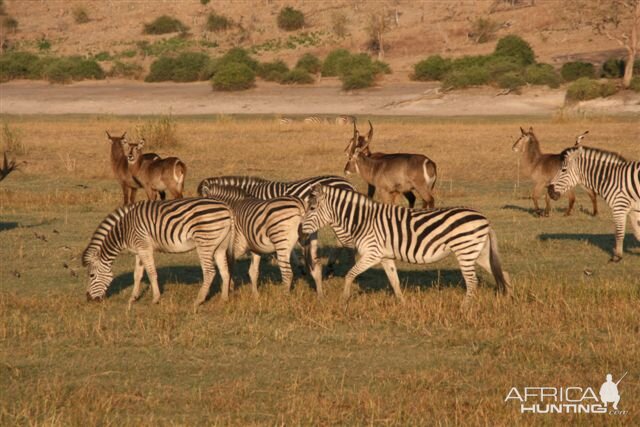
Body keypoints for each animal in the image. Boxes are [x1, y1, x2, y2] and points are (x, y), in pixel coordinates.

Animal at [82, 199, 235, 310]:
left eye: (92, 275)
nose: (88, 299)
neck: (124, 230)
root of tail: (227, 208)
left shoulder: (144, 247)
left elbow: (151, 273)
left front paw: (155, 298)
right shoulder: (139, 251)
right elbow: (137, 275)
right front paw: (133, 298)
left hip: (204, 243)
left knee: (209, 272)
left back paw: (198, 300)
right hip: (220, 246)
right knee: (225, 271)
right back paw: (224, 299)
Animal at [302, 186, 516, 310]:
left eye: (311, 208)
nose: (301, 231)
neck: (364, 221)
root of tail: (485, 218)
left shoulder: (372, 253)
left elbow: (349, 275)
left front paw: (343, 301)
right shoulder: (385, 257)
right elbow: (394, 281)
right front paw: (403, 304)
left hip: (466, 250)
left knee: (472, 282)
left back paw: (464, 308)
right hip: (479, 252)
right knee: (503, 273)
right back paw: (508, 300)